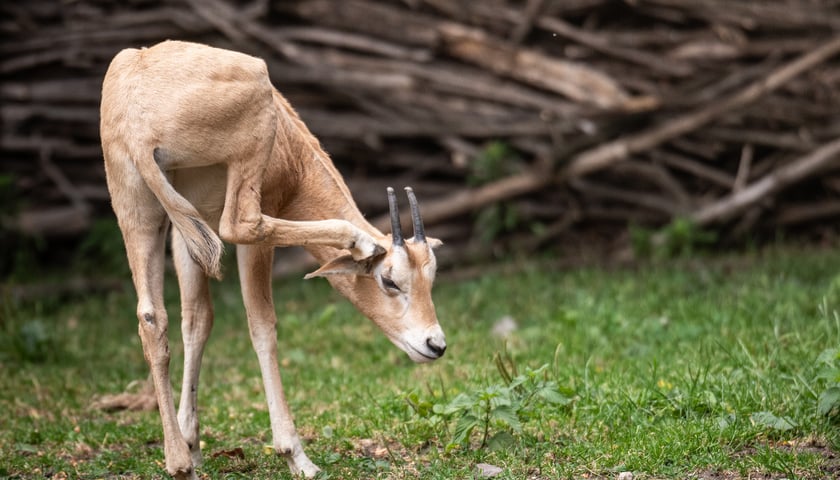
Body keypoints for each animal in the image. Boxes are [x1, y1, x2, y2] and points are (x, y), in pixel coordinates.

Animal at [100, 41, 446, 480]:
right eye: (390, 280)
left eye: (430, 278)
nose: (435, 345)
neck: (292, 145)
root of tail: (137, 111)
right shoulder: (253, 226)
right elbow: (262, 325)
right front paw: (295, 455)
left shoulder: (187, 234)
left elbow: (196, 321)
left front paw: (192, 445)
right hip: (252, 116)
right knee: (241, 225)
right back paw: (359, 239)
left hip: (139, 213)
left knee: (151, 318)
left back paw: (178, 463)